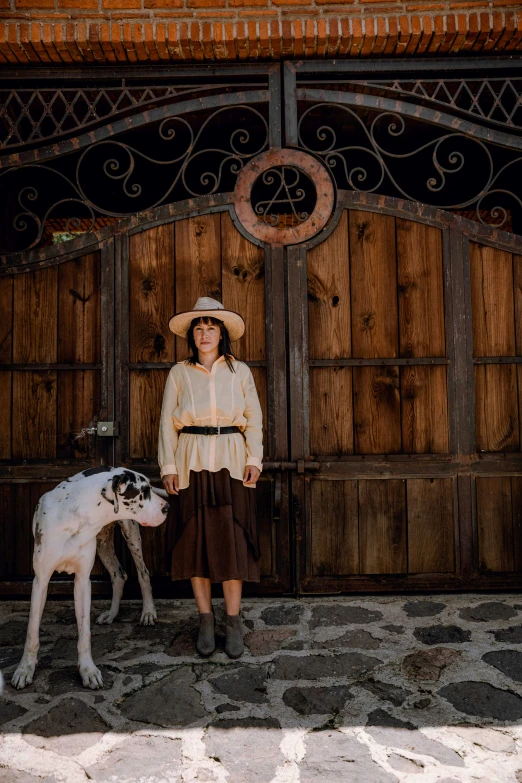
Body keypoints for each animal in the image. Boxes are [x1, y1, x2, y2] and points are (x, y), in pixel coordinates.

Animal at [12, 468, 168, 688]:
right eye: (143, 491)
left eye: (149, 488)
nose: (167, 507)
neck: (77, 518)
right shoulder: (40, 580)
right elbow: (32, 631)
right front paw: (25, 669)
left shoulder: (83, 581)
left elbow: (84, 633)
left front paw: (88, 670)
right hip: (103, 543)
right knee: (118, 575)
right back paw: (112, 614)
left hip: (131, 535)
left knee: (143, 573)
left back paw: (148, 612)